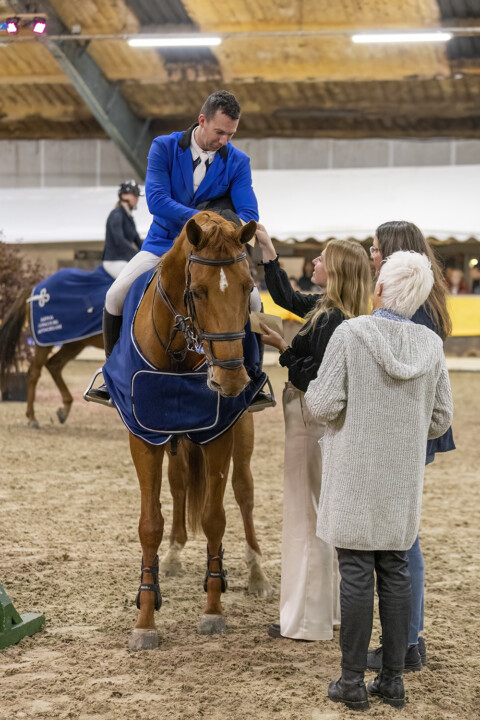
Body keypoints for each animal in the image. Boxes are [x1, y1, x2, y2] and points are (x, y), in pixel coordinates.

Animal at [126, 211, 270, 648]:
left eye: (248, 288)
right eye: (198, 292)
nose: (232, 380)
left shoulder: (219, 433)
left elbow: (214, 518)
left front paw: (213, 609)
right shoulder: (144, 437)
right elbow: (150, 524)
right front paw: (145, 619)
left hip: (243, 434)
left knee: (243, 492)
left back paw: (256, 572)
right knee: (177, 484)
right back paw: (173, 556)